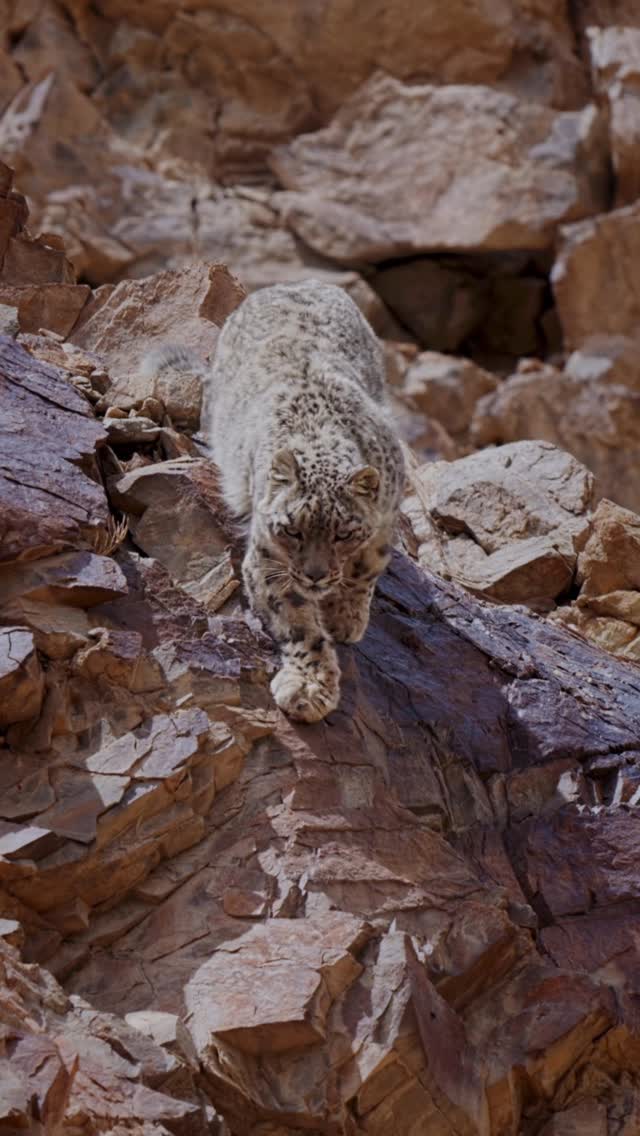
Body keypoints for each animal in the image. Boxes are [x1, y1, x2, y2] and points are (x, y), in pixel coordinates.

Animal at [148, 280, 405, 723]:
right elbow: (299, 622)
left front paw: (345, 616)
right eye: (292, 530)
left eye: (343, 533)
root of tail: (291, 282)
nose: (316, 575)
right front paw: (309, 687)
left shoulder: (386, 516)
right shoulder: (267, 559)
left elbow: (367, 568)